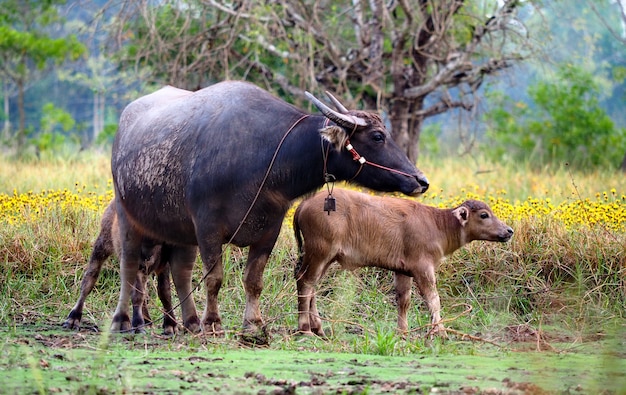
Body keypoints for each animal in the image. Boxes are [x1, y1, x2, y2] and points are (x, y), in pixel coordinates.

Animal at [63, 203, 177, 336]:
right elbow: (137, 294)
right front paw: (138, 325)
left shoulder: (164, 262)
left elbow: (164, 292)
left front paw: (170, 325)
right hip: (102, 244)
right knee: (89, 280)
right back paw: (73, 319)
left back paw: (144, 321)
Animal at [109, 80, 426, 340]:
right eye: (377, 137)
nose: (420, 180)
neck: (265, 156)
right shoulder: (208, 228)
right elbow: (214, 278)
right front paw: (214, 323)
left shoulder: (268, 230)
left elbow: (254, 280)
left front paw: (253, 325)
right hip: (128, 217)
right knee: (129, 265)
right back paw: (125, 321)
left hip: (179, 231)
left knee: (180, 271)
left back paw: (187, 323)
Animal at [292, 189, 512, 338]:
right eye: (484, 215)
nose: (509, 231)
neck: (438, 225)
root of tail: (304, 205)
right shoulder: (423, 268)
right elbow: (434, 299)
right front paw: (440, 332)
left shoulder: (402, 271)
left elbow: (403, 301)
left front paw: (403, 332)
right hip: (319, 252)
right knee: (305, 282)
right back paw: (305, 329)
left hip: (326, 258)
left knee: (312, 286)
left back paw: (319, 328)